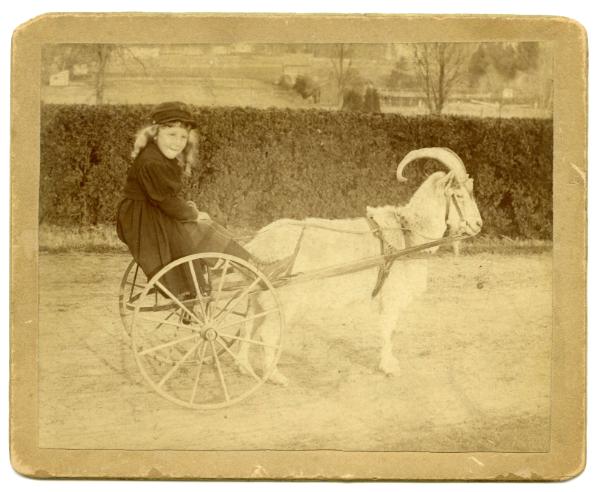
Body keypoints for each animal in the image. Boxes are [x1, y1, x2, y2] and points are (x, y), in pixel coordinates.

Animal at [240, 147, 482, 384]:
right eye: (459, 195)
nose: (478, 224)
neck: (407, 233)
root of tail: (258, 244)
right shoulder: (391, 298)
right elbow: (388, 330)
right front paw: (389, 367)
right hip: (283, 299)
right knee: (267, 334)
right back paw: (274, 375)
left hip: (259, 295)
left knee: (248, 325)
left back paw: (244, 367)